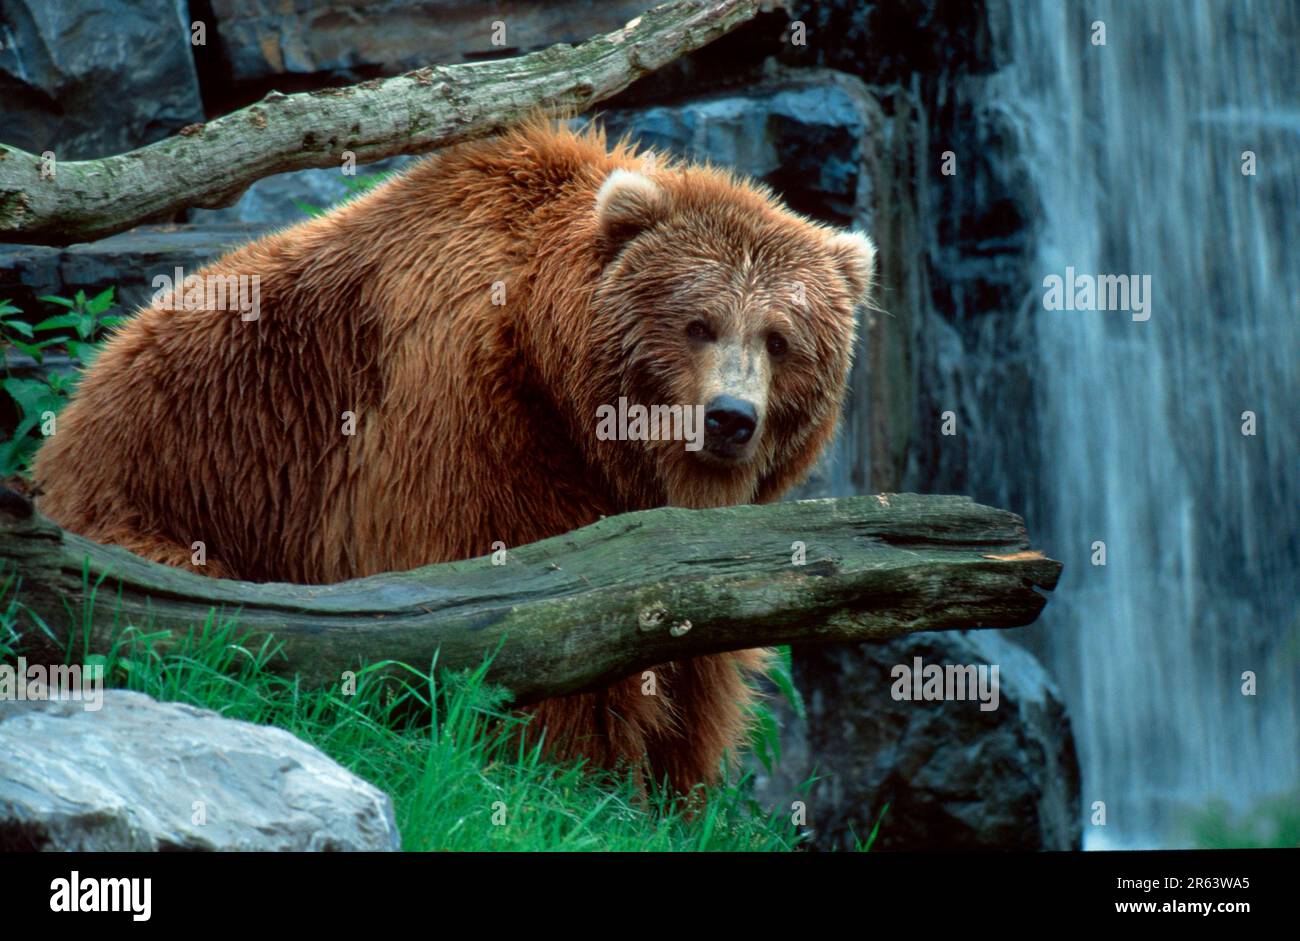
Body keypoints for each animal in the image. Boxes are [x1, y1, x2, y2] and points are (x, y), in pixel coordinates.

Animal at [32, 120, 875, 792]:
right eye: (698, 323)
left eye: (780, 338)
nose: (730, 418)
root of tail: (76, 403)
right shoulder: (466, 418)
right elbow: (525, 617)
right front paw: (562, 774)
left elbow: (697, 662)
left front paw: (671, 792)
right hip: (154, 488)